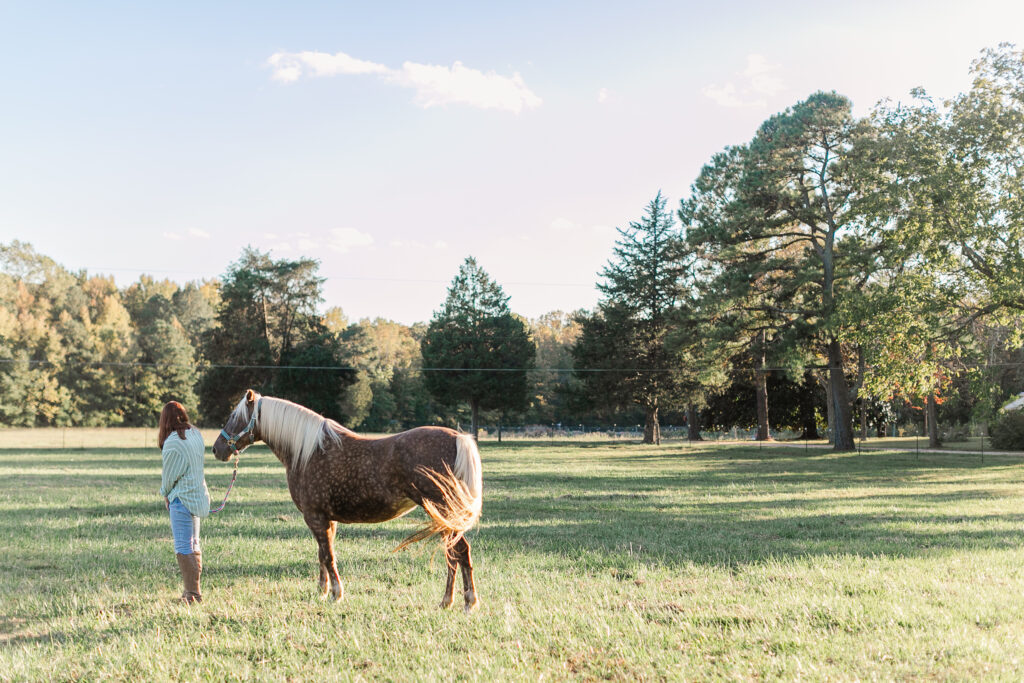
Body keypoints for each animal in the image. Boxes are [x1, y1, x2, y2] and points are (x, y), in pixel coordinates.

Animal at [211, 389, 483, 614]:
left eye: (235, 417)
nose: (216, 449)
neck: (308, 452)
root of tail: (458, 438)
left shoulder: (315, 517)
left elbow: (328, 556)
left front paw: (336, 594)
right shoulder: (327, 520)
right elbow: (323, 554)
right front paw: (322, 591)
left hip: (443, 513)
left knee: (459, 553)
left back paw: (467, 602)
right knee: (454, 555)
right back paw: (448, 602)